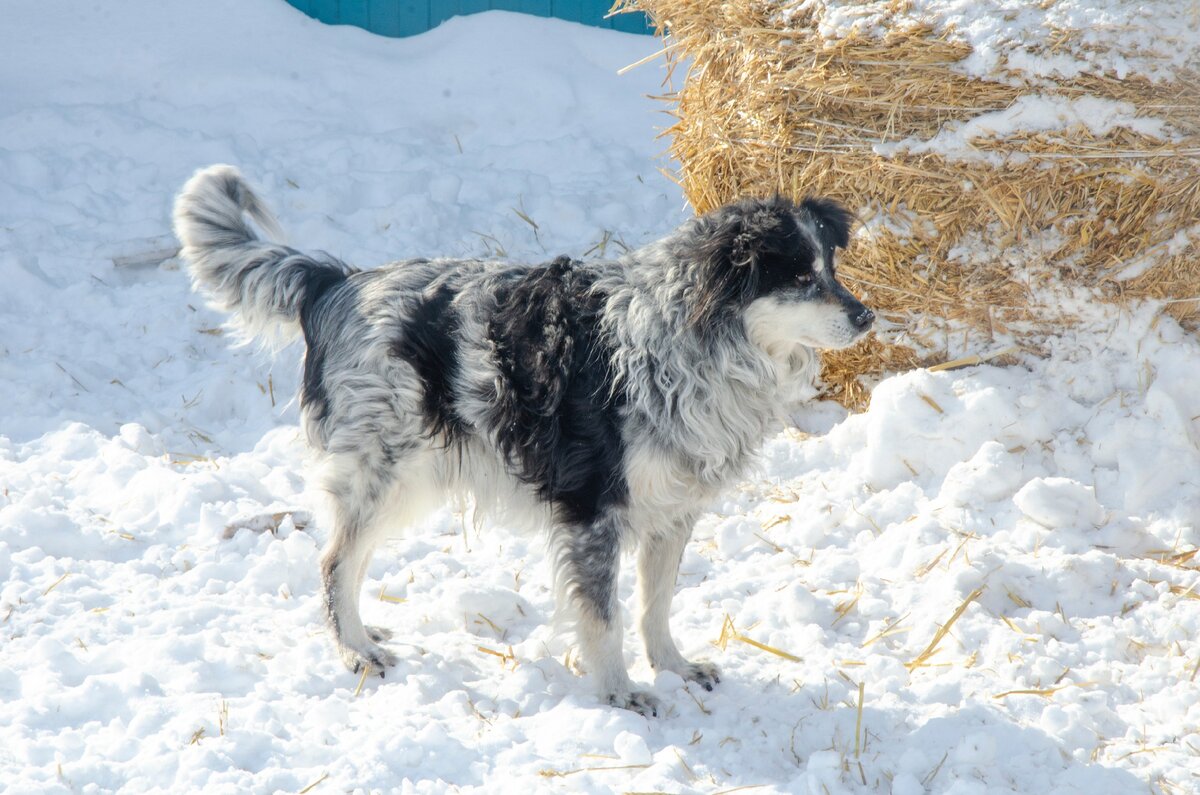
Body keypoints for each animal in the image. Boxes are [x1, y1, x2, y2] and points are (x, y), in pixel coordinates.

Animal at [171, 163, 873, 715]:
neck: (689, 344)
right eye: (800, 278)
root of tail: (336, 281)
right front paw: (620, 693)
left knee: (348, 560)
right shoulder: (593, 511)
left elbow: (656, 605)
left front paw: (673, 667)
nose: (868, 315)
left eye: (830, 268)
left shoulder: (673, 511)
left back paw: (367, 636)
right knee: (334, 562)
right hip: (385, 473)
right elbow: (605, 619)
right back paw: (356, 651)